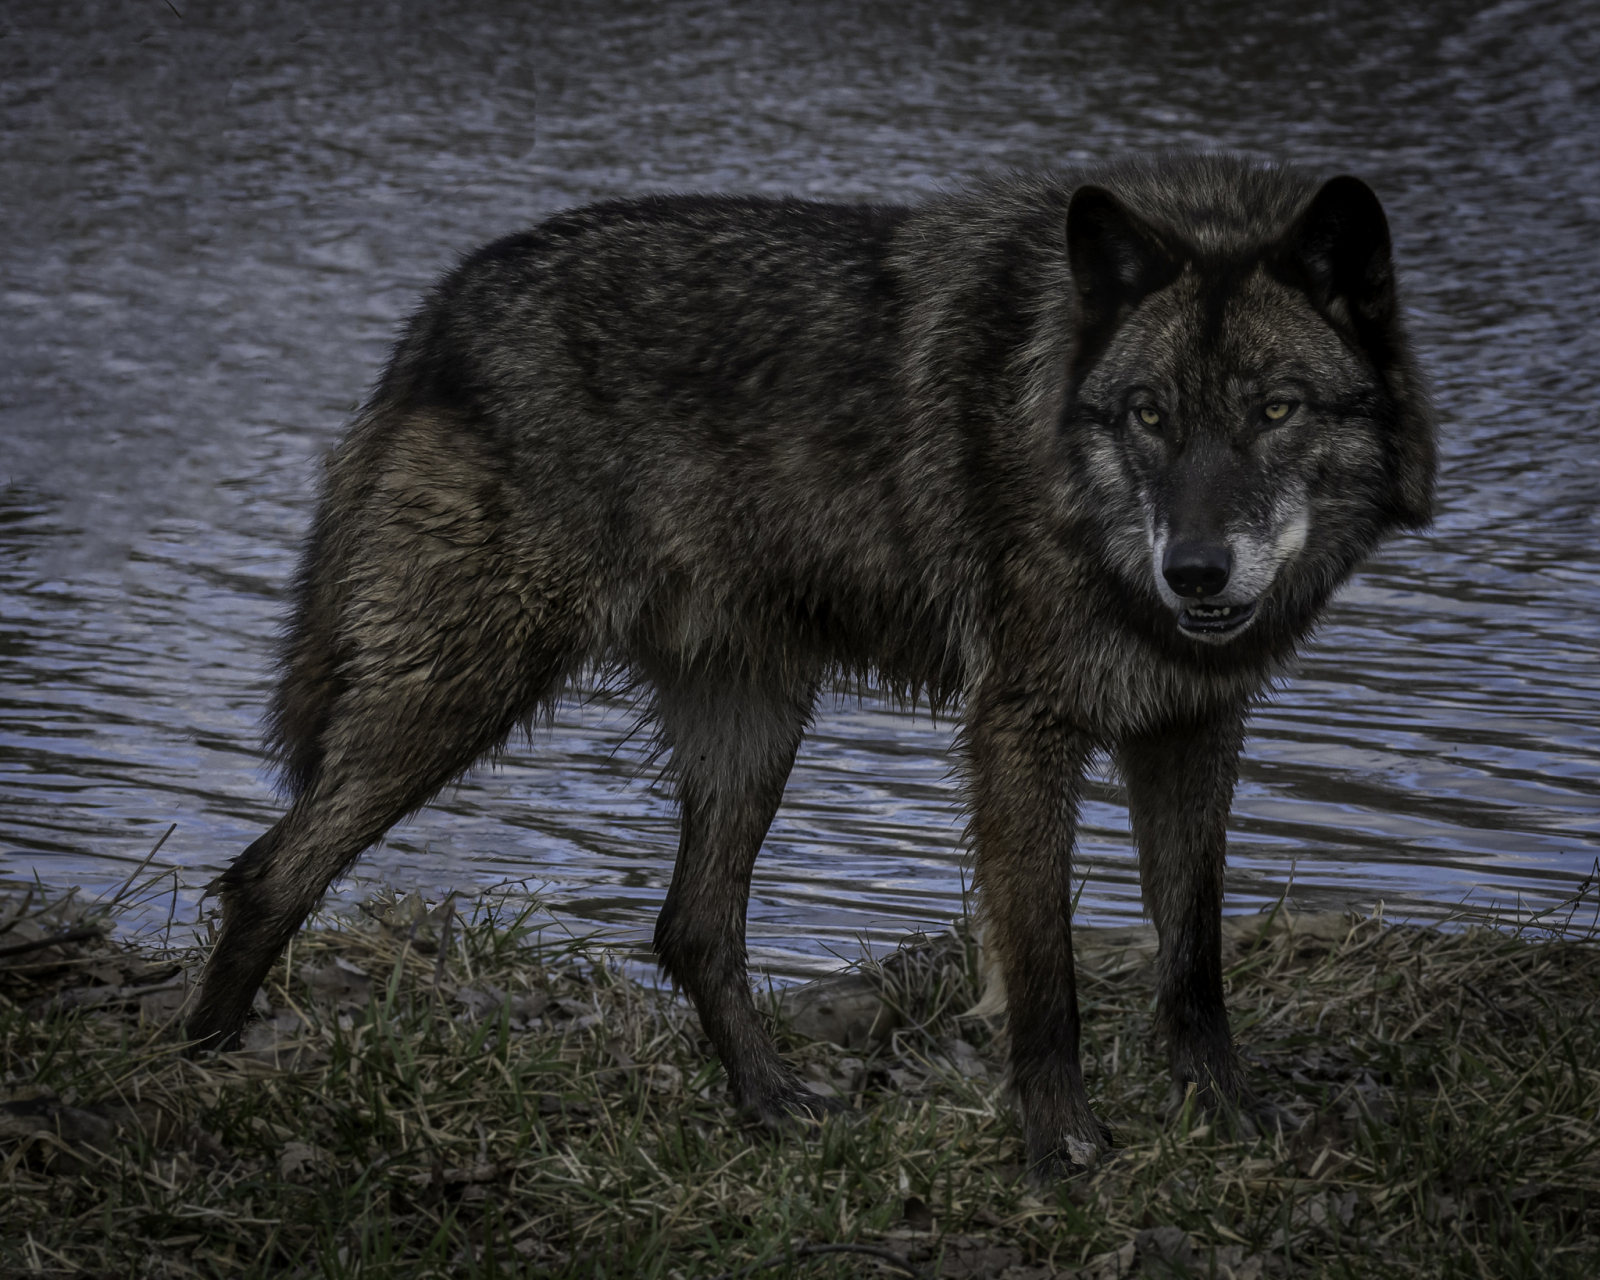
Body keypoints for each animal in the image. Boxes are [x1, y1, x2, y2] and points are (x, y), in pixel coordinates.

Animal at [187, 157, 1440, 1177]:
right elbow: (1046, 973)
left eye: (1274, 409)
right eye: (1147, 414)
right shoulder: (1019, 728)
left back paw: (774, 1104)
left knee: (690, 926)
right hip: (465, 688)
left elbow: (1194, 957)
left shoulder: (1192, 726)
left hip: (753, 719)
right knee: (269, 872)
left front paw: (1230, 1113)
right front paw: (1061, 1147)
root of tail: (446, 302)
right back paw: (196, 1072)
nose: (1195, 571)